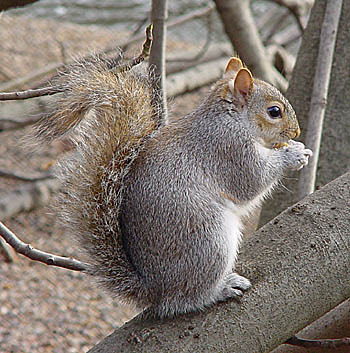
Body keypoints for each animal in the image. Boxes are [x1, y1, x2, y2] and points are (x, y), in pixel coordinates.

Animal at [34, 54, 312, 316]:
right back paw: (219, 289)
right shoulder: (229, 150)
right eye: (274, 111)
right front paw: (293, 154)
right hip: (208, 239)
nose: (297, 132)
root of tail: (155, 288)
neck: (231, 120)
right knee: (186, 299)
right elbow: (252, 182)